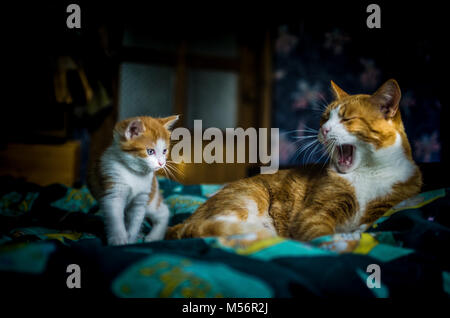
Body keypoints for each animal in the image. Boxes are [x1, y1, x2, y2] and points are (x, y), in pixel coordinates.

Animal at [89, 115, 178, 246]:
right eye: (150, 151)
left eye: (164, 151)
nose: (162, 163)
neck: (134, 173)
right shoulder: (113, 190)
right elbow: (115, 217)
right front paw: (119, 239)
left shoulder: (142, 198)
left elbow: (136, 220)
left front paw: (131, 240)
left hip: (152, 197)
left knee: (164, 211)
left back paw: (154, 236)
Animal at [165, 79, 422, 241]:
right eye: (325, 118)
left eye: (347, 119)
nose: (324, 130)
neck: (369, 172)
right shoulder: (314, 213)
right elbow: (321, 234)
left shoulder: (390, 202)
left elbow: (370, 221)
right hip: (246, 197)